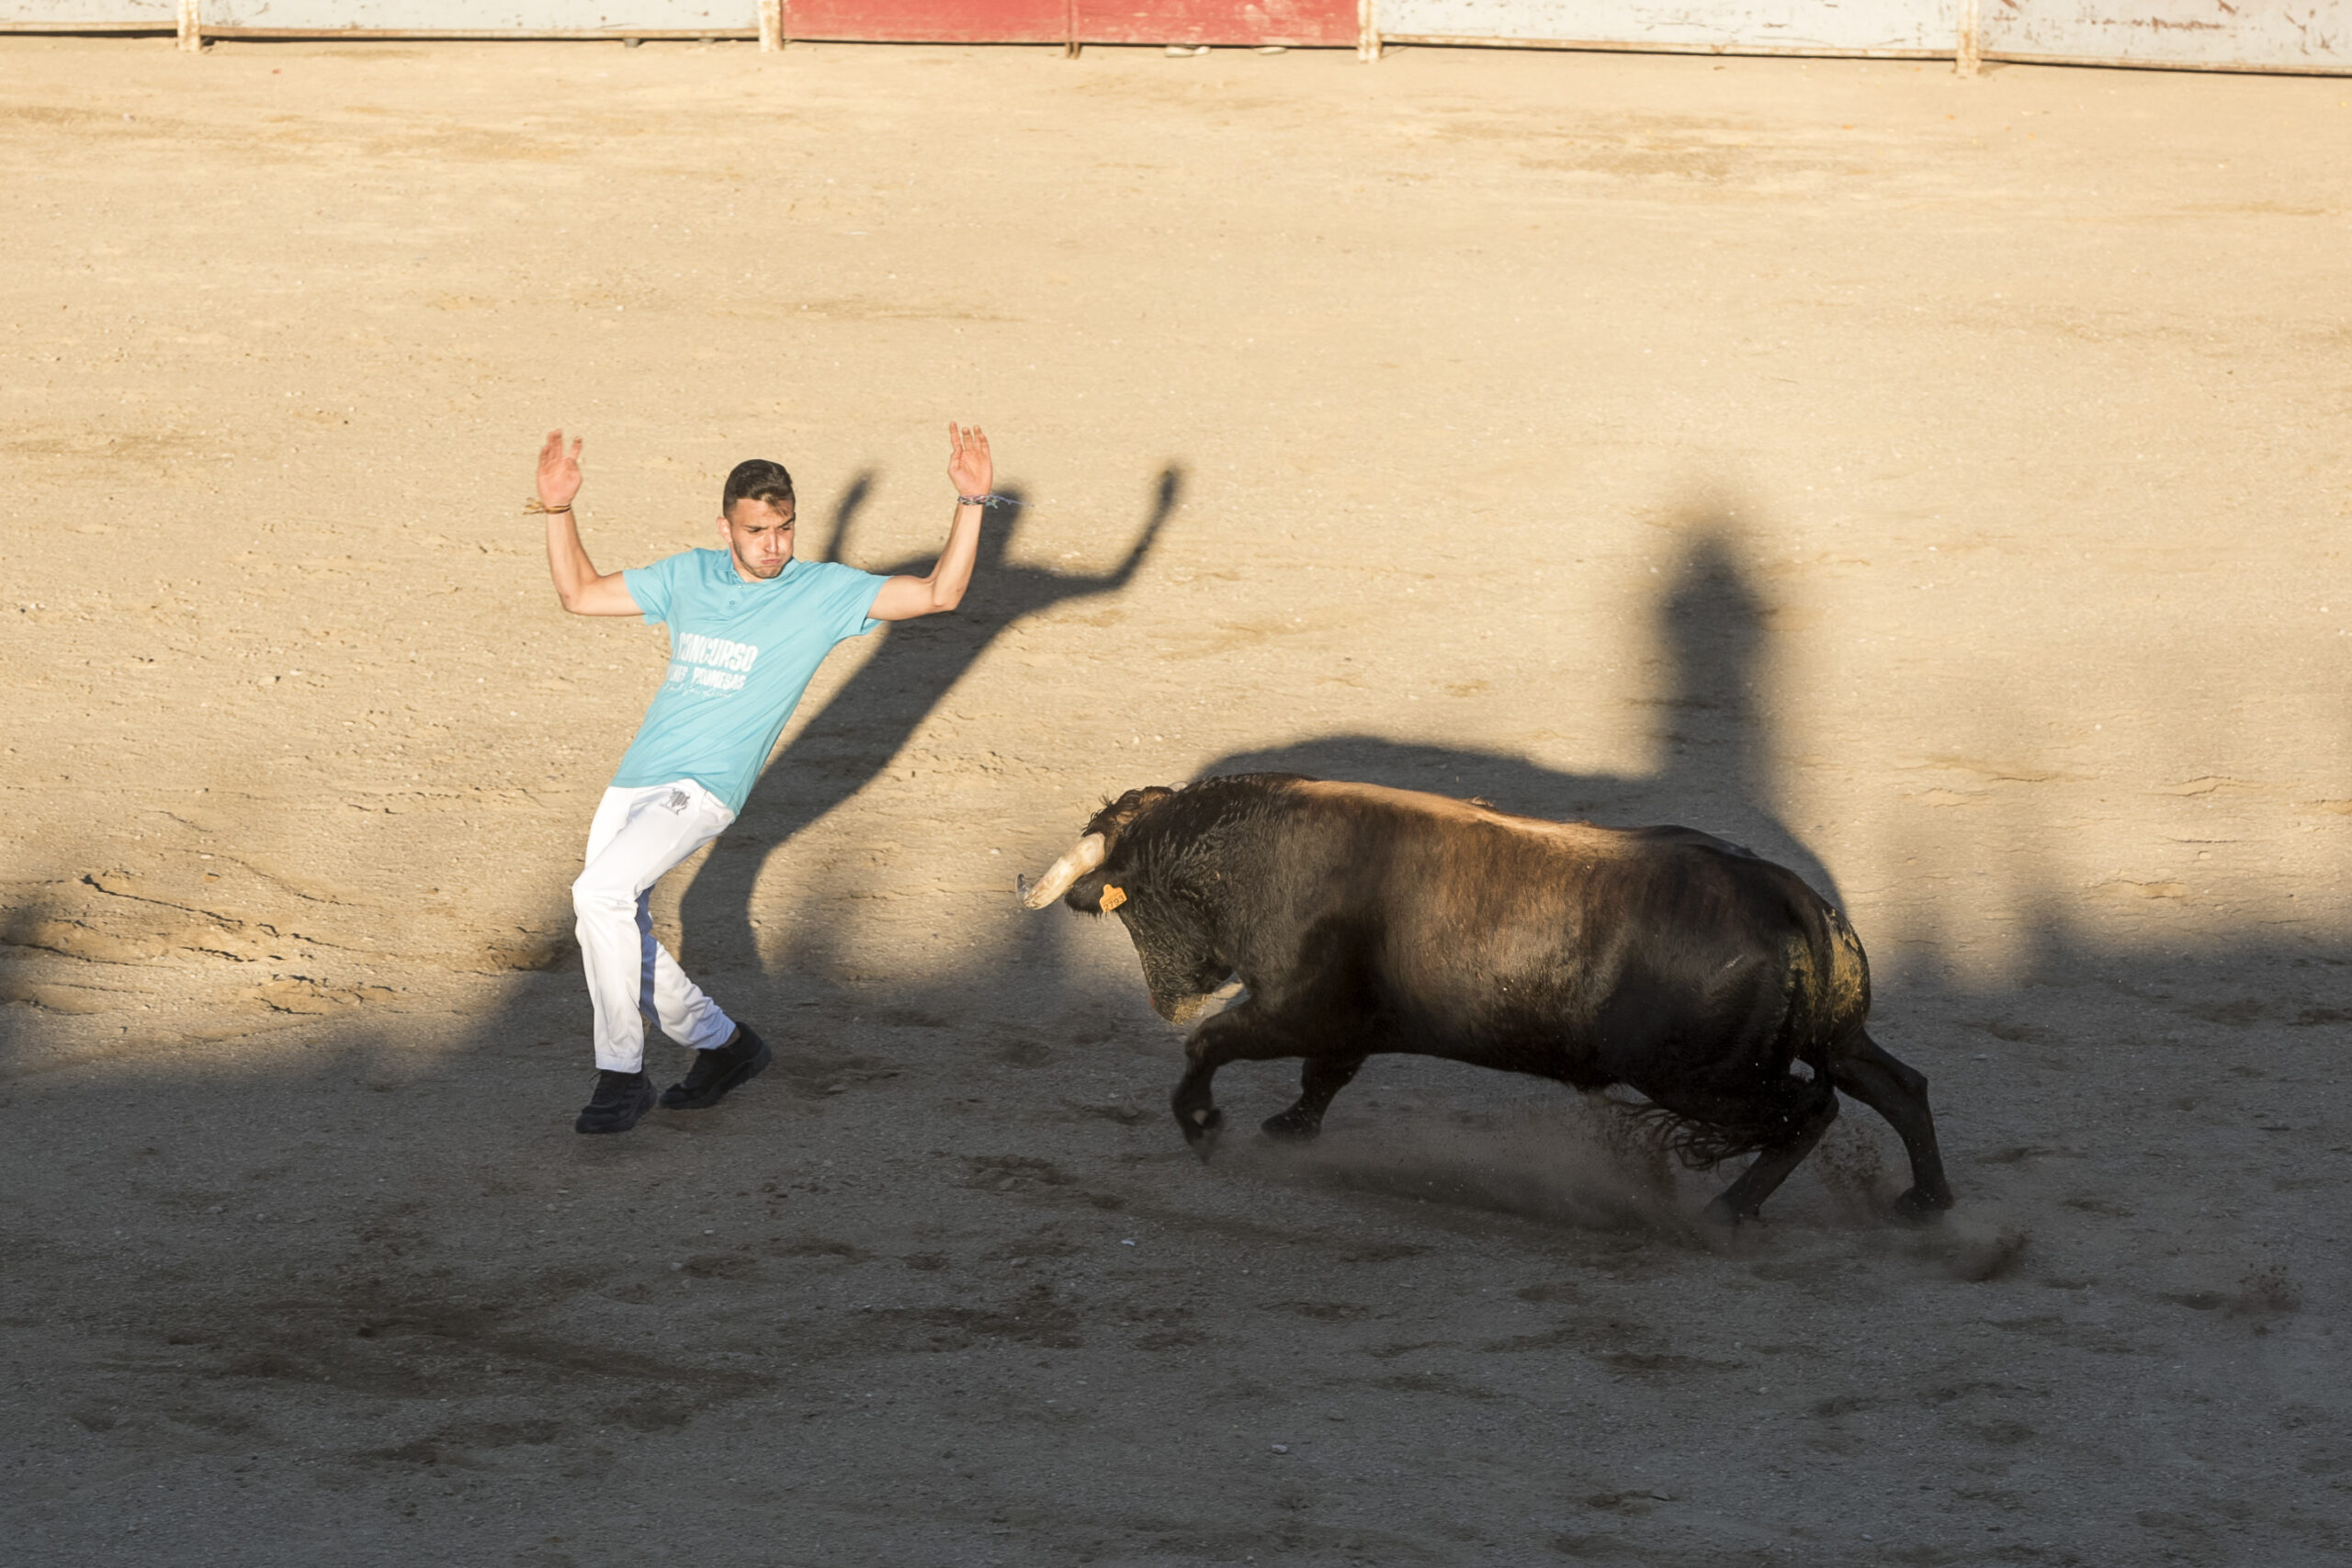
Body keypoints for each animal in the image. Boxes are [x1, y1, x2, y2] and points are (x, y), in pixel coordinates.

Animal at [1021, 771, 1956, 1222]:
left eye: (1129, 902)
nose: (1167, 998)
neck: (1253, 855)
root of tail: (1795, 900)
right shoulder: (1345, 1021)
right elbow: (1323, 1077)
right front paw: (1287, 1129)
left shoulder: (1294, 1007)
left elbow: (1212, 1045)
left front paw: (1205, 1125)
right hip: (1824, 1039)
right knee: (1896, 1086)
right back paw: (1924, 1204)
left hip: (1704, 1078)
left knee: (1809, 1110)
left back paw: (1727, 1210)